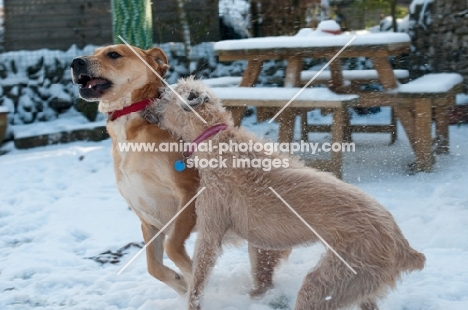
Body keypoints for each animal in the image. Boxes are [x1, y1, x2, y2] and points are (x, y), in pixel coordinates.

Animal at [70, 45, 288, 296]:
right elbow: (153, 266)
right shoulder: (149, 218)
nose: (75, 62)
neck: (131, 130)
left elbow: (173, 247)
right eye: (94, 51)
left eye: (113, 54)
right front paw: (181, 283)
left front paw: (192, 274)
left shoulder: (189, 194)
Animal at [144, 78, 426, 310]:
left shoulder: (211, 231)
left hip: (329, 282)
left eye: (165, 95)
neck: (217, 139)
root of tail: (403, 247)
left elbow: (198, 277)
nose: (146, 104)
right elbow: (262, 271)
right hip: (357, 284)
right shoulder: (261, 242)